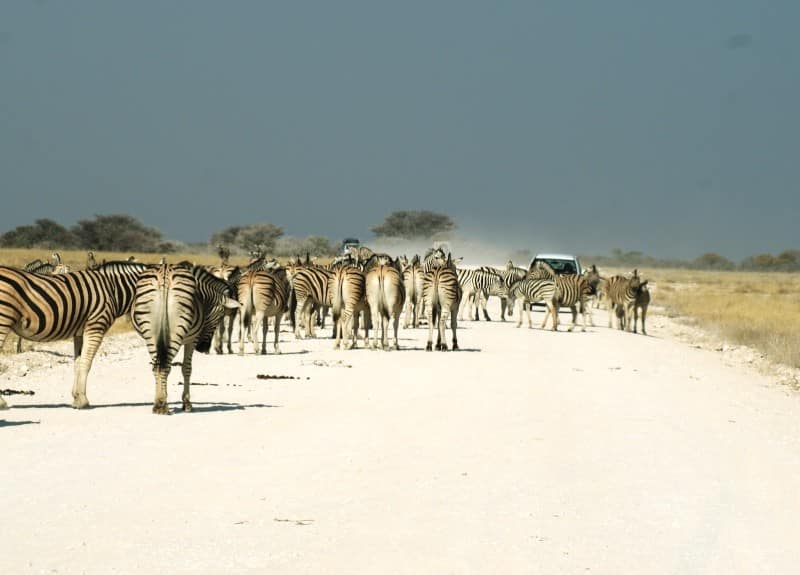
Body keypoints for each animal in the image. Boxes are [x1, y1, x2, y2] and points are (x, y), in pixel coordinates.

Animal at [0, 260, 150, 410]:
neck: (113, 290)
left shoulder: (79, 332)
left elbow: (77, 363)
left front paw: (76, 397)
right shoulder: (96, 326)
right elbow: (86, 362)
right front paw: (83, 401)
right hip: (4, 319)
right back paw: (2, 403)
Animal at [130, 264, 238, 416]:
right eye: (221, 316)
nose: (203, 348)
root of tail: (165, 275)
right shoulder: (191, 339)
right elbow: (187, 368)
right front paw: (186, 402)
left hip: (150, 332)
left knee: (158, 366)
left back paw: (158, 403)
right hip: (177, 329)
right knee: (166, 365)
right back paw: (162, 405)